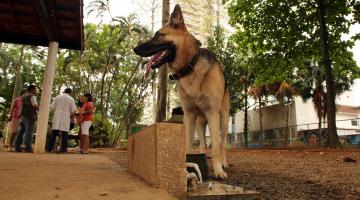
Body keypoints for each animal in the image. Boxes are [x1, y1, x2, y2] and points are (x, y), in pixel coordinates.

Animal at [134, 4, 229, 178]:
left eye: (159, 35)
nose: (135, 48)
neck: (190, 66)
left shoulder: (212, 114)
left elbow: (216, 147)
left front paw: (218, 170)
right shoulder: (189, 117)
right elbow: (188, 146)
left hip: (223, 120)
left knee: (223, 143)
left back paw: (223, 163)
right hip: (199, 122)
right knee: (203, 144)